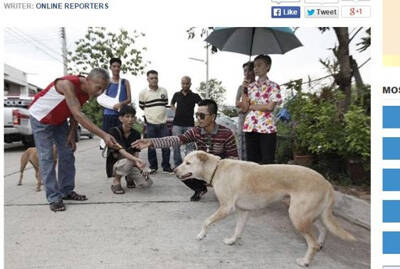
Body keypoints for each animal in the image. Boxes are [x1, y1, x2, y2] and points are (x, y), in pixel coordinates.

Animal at [173, 151, 354, 266]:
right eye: (183, 161)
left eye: (188, 163)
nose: (174, 170)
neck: (217, 169)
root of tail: (326, 183)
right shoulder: (243, 211)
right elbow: (238, 229)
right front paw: (232, 241)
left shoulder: (226, 208)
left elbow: (206, 221)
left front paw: (201, 235)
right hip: (308, 215)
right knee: (324, 229)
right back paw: (321, 244)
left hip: (298, 217)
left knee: (313, 243)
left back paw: (305, 261)